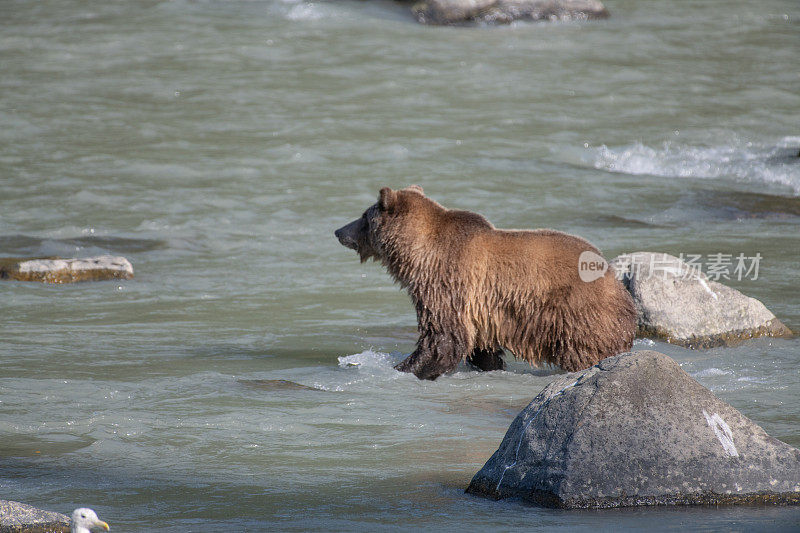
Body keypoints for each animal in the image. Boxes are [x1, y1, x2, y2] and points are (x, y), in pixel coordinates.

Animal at [334, 186, 636, 378]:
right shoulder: (482, 308)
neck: (419, 255)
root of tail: (613, 277)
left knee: (586, 348)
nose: (339, 230)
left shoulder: (446, 282)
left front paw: (403, 367)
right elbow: (479, 346)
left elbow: (442, 338)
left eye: (364, 216)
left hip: (575, 311)